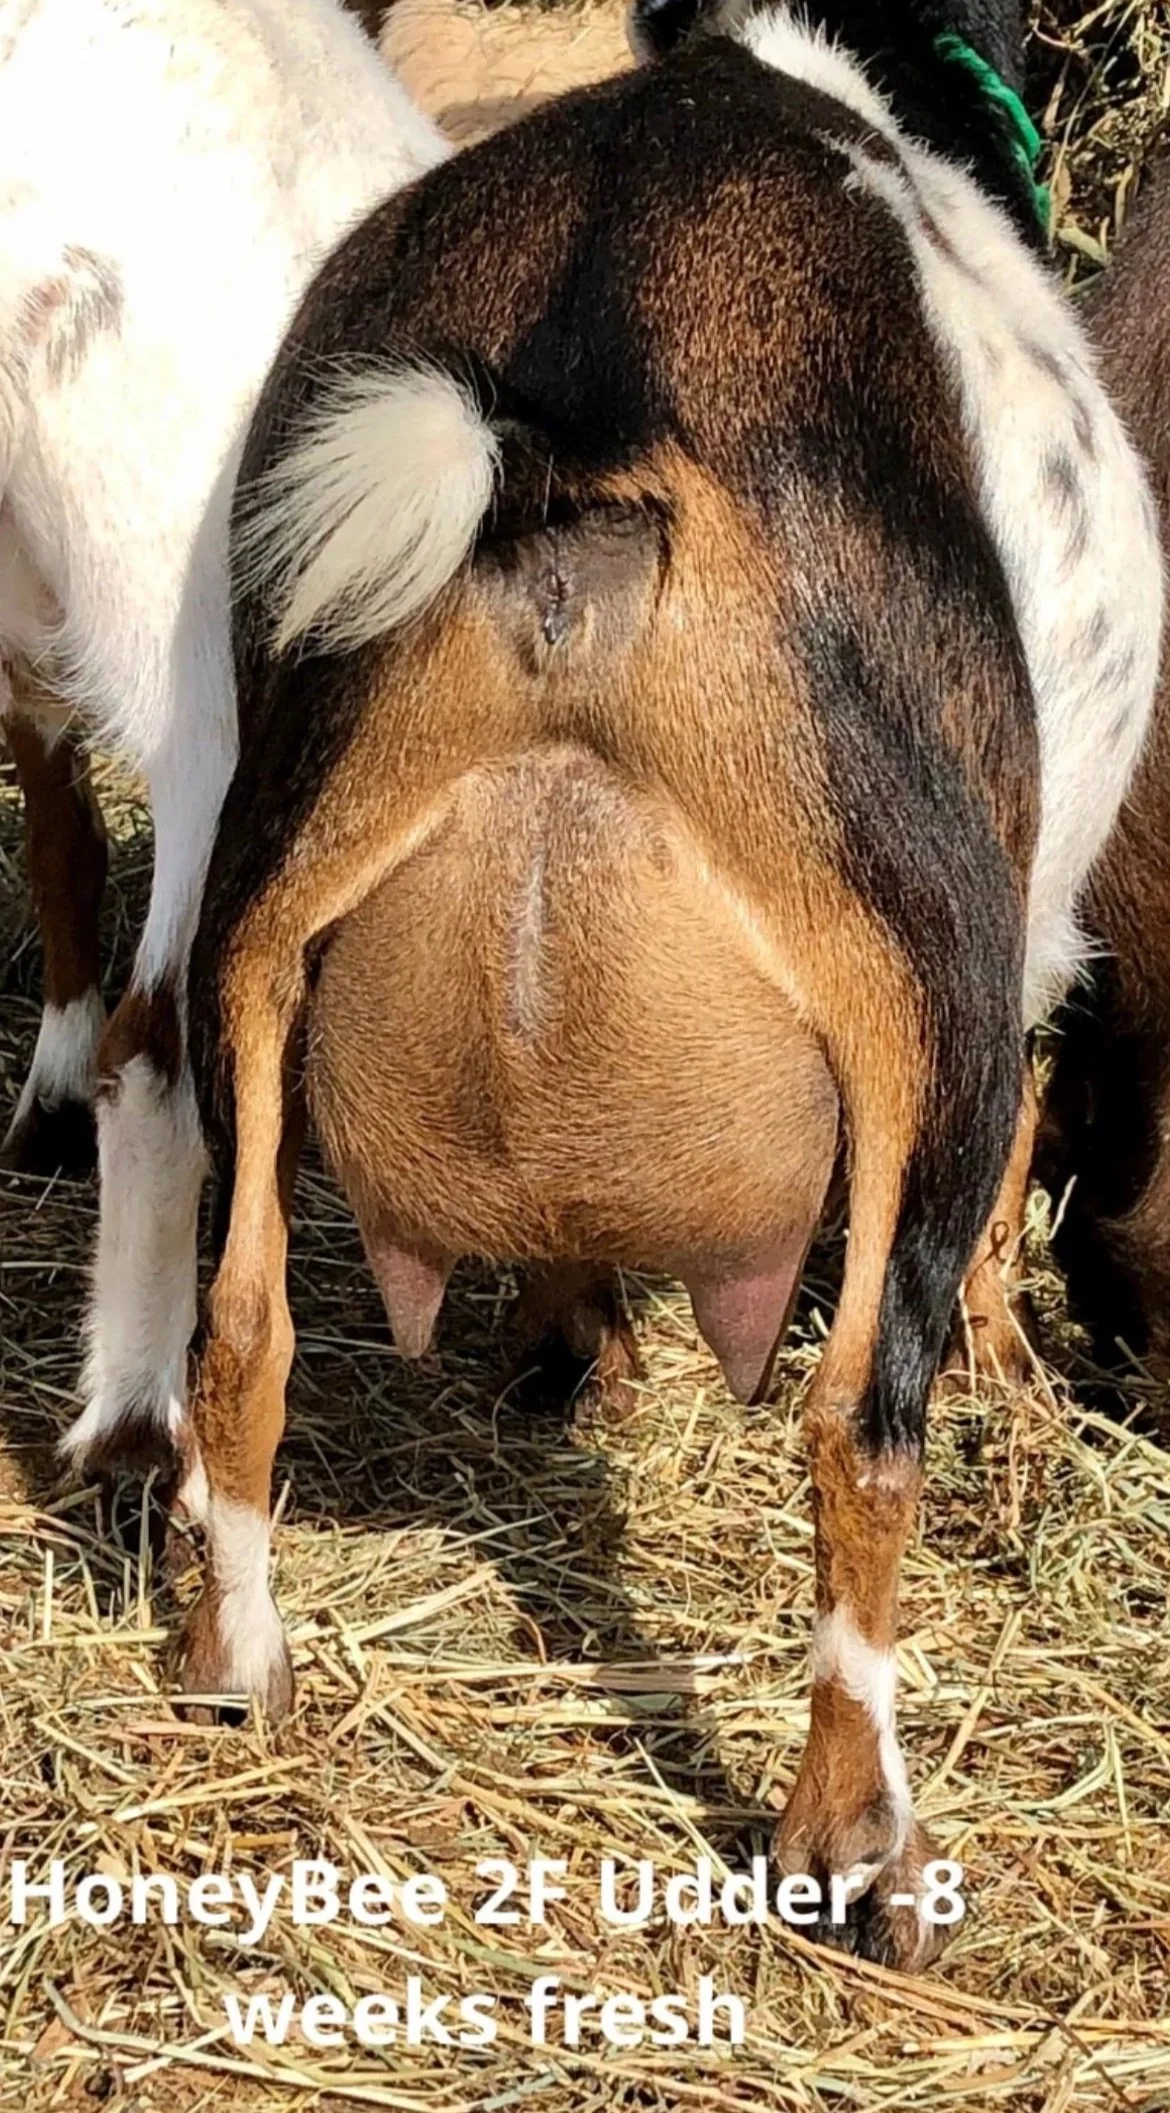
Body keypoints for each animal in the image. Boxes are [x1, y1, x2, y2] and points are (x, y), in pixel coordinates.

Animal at [182, 0, 1160, 1970]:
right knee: (861, 1428)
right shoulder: (1029, 943)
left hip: (262, 892)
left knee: (240, 1319)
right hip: (925, 968)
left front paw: (577, 1355)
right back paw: (856, 1852)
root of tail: (578, 454)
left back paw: (235, 1670)